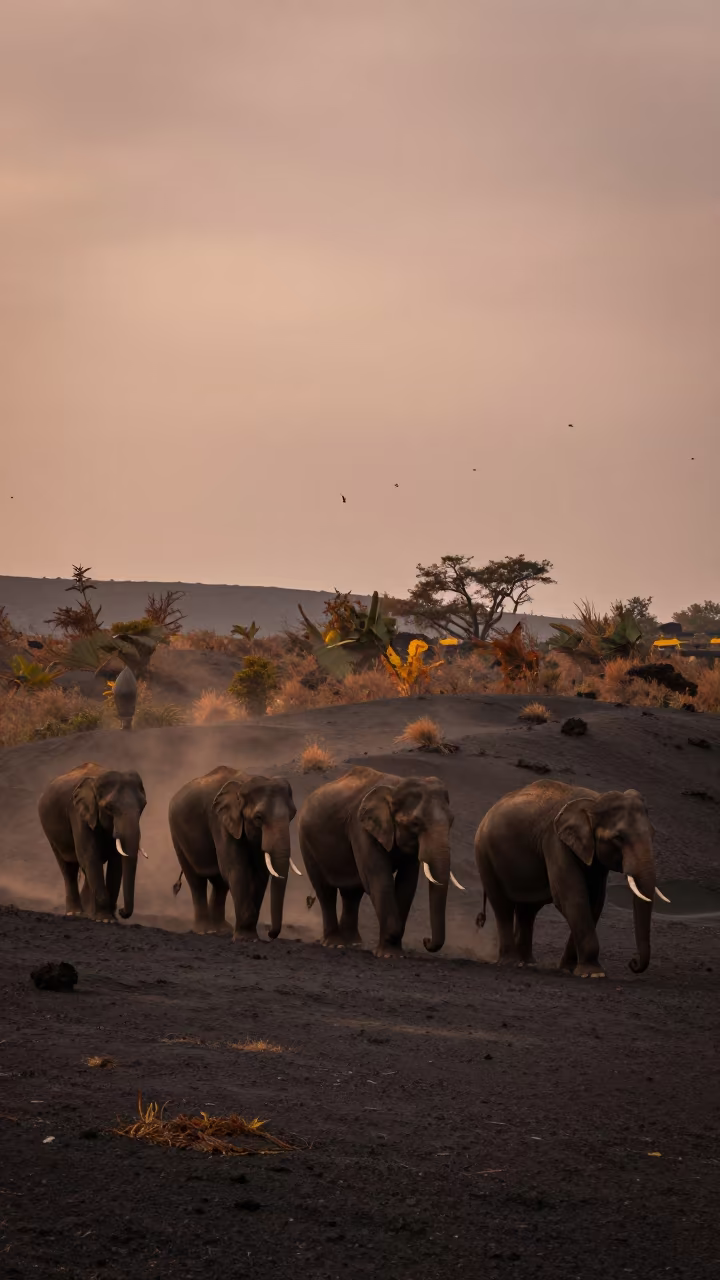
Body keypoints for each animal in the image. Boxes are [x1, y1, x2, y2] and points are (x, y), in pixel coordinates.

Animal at [38, 763, 147, 921]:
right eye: (109, 807)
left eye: (143, 806)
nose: (121, 911)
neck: (96, 781)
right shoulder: (77, 812)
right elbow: (89, 854)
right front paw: (105, 919)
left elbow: (116, 861)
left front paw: (110, 918)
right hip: (49, 830)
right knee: (68, 868)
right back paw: (75, 913)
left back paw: (88, 913)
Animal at [168, 766, 298, 940]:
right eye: (258, 818)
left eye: (292, 815)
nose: (271, 934)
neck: (244, 784)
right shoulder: (220, 821)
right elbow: (238, 870)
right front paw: (245, 939)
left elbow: (260, 874)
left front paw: (250, 937)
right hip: (177, 833)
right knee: (196, 881)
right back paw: (204, 931)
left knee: (220, 883)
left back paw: (221, 930)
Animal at [298, 765, 464, 957]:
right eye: (415, 823)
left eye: (452, 821)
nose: (426, 940)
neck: (396, 787)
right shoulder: (361, 827)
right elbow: (380, 879)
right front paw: (388, 954)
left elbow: (407, 884)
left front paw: (395, 953)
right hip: (306, 840)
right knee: (325, 891)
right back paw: (335, 944)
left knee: (352, 892)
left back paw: (353, 943)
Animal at [474, 779, 666, 978]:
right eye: (618, 838)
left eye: (653, 834)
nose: (633, 963)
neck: (594, 802)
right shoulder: (555, 841)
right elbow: (573, 897)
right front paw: (593, 974)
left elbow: (595, 901)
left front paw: (570, 969)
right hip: (484, 855)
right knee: (502, 905)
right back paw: (511, 962)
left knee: (528, 910)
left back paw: (527, 963)